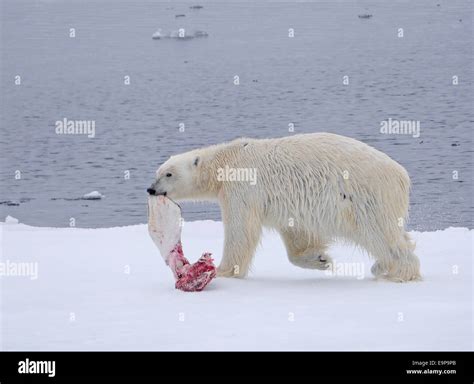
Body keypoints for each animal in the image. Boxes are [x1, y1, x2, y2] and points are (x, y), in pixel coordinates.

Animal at [148, 133, 422, 282]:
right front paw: (320, 259)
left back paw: (397, 270)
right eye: (157, 173)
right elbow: (296, 233)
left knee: (379, 233)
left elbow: (241, 230)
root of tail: (401, 175)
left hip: (365, 196)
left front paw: (223, 270)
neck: (226, 160)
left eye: (168, 174)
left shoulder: (242, 186)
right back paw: (383, 266)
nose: (151, 189)